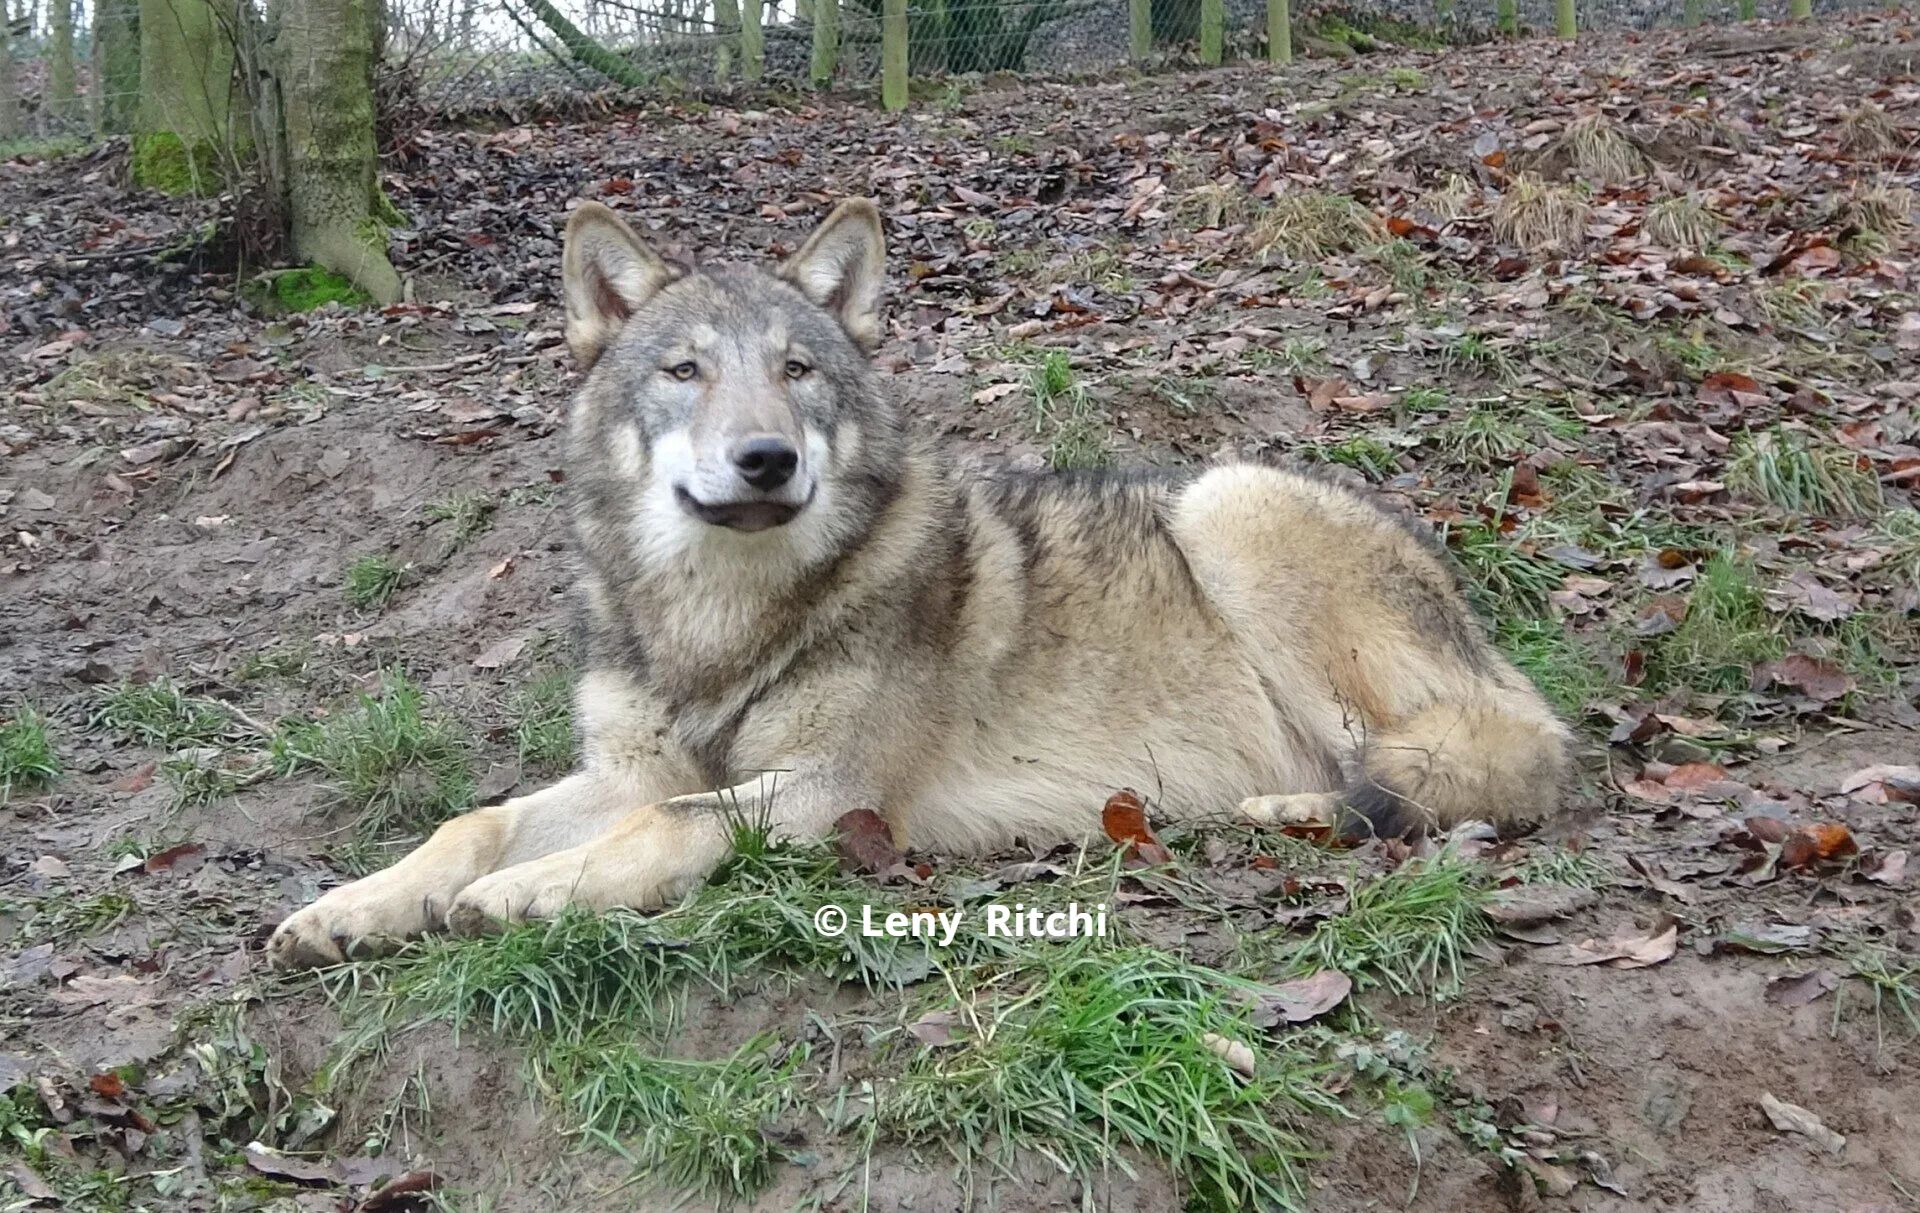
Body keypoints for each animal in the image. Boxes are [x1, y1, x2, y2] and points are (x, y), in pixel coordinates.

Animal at [269, 199, 1573, 967]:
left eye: (797, 370)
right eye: (685, 371)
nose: (766, 458)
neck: (719, 619)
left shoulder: (832, 792)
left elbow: (669, 823)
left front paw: (527, 894)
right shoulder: (631, 766)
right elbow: (474, 818)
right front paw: (352, 905)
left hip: (1228, 502)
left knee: (1486, 769)